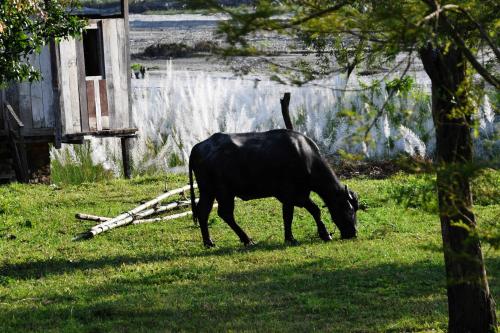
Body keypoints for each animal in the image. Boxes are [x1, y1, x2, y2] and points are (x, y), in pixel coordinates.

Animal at [188, 129, 360, 246]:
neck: (306, 157)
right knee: (225, 213)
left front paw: (323, 234)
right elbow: (290, 215)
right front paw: (291, 238)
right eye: (349, 209)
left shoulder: (300, 194)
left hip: (208, 191)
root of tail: (198, 147)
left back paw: (209, 242)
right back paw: (246, 240)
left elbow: (313, 210)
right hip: (223, 191)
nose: (353, 233)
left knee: (203, 211)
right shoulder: (290, 194)